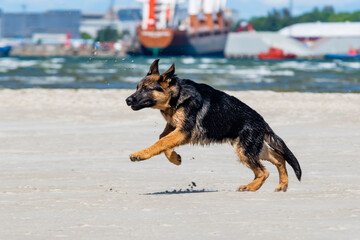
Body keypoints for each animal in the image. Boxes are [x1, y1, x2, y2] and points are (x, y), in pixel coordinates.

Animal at [126, 59, 300, 192]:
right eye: (137, 88)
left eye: (146, 89)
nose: (127, 100)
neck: (177, 96)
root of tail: (263, 122)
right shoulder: (174, 127)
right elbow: (162, 139)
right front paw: (174, 158)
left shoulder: (183, 131)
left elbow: (161, 142)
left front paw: (140, 154)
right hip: (251, 147)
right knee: (279, 158)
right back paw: (282, 185)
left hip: (245, 150)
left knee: (264, 172)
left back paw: (250, 187)